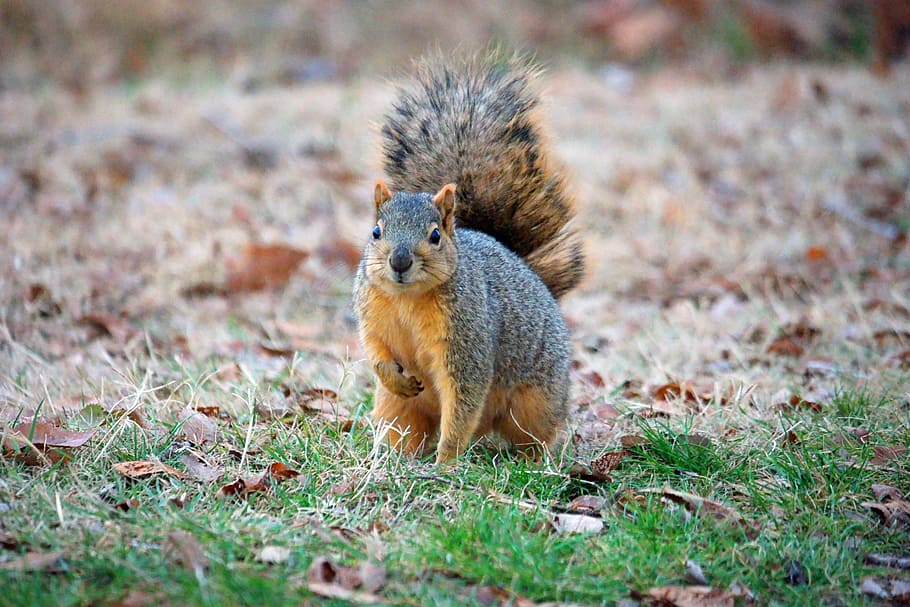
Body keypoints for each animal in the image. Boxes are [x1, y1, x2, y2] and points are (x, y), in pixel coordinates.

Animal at [352, 54, 588, 466]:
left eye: (435, 236)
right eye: (376, 232)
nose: (399, 262)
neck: (407, 299)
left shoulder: (468, 340)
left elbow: (463, 398)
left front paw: (446, 461)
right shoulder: (373, 315)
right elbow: (376, 352)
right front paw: (395, 376)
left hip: (536, 401)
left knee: (533, 433)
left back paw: (534, 462)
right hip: (397, 409)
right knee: (404, 426)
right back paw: (392, 457)